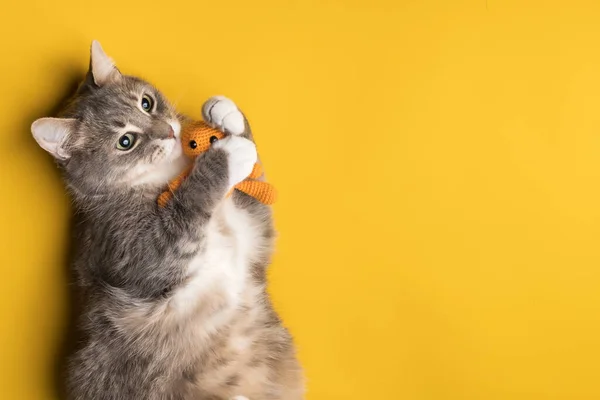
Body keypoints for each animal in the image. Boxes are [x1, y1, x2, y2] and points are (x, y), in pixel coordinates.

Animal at [31, 41, 304, 400]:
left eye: (146, 103)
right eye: (125, 141)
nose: (170, 132)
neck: (172, 174)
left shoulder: (253, 232)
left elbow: (255, 191)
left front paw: (228, 117)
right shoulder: (137, 250)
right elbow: (186, 210)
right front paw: (226, 155)